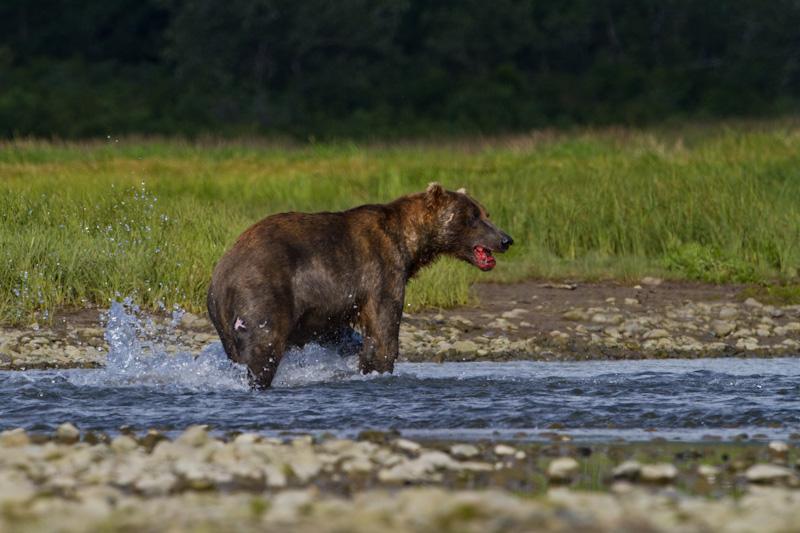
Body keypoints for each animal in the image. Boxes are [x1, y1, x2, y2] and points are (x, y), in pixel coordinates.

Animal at [208, 182, 512, 386]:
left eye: (485, 212)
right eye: (473, 216)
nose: (506, 239)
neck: (411, 243)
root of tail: (222, 275)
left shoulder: (331, 304)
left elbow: (338, 332)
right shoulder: (381, 271)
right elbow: (383, 332)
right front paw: (377, 368)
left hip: (225, 319)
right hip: (264, 293)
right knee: (264, 348)